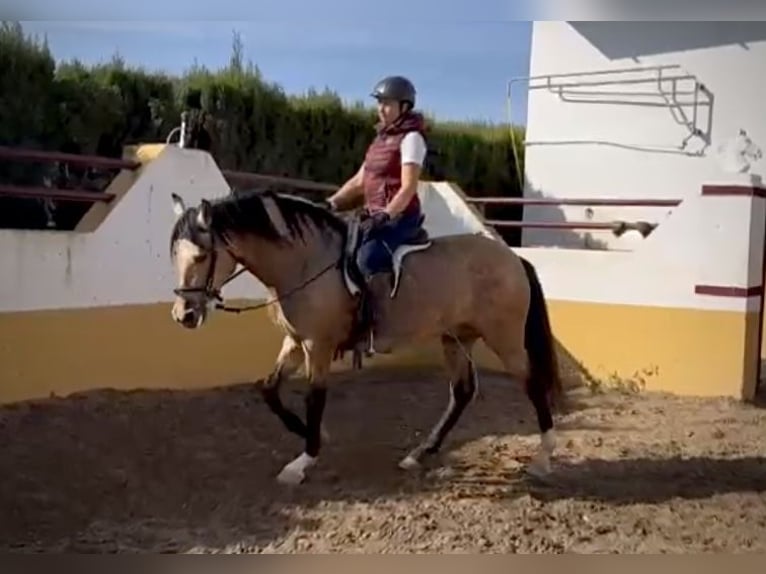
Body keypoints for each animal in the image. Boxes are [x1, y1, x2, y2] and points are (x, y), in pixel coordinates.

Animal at [168, 189, 564, 486]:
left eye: (201, 255)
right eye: (175, 255)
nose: (184, 315)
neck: (304, 263)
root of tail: (513, 259)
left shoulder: (318, 346)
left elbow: (315, 399)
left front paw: (304, 459)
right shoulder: (295, 342)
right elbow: (268, 389)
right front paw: (313, 435)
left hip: (505, 338)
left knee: (531, 383)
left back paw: (543, 459)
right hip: (456, 338)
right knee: (462, 392)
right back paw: (420, 454)